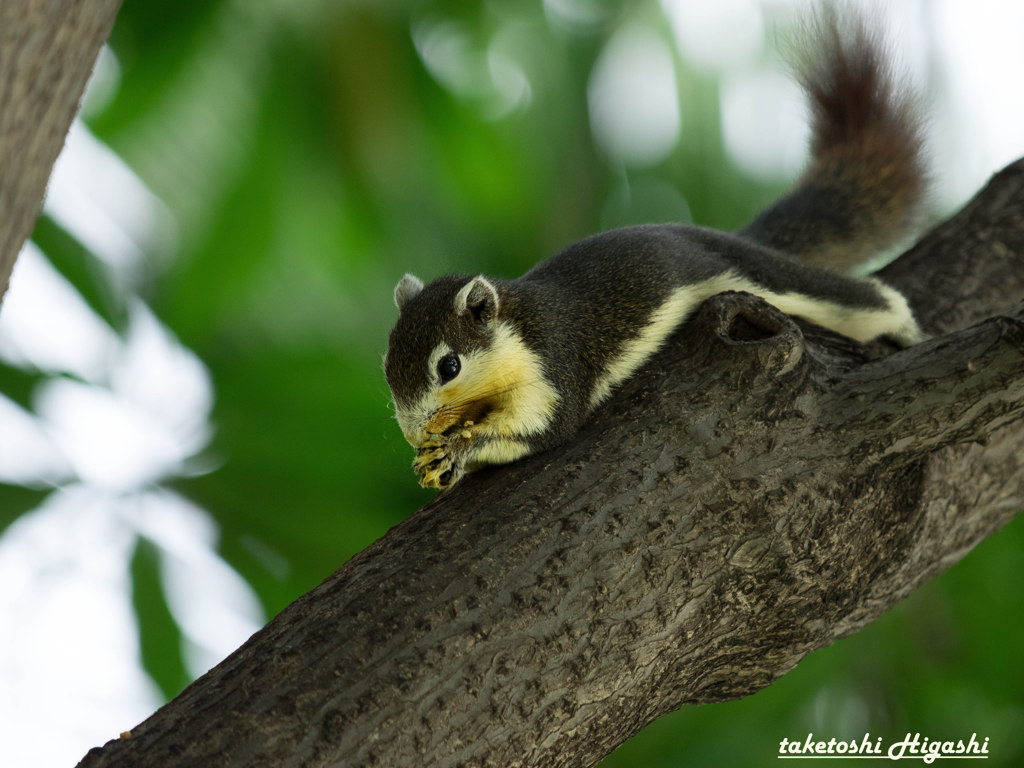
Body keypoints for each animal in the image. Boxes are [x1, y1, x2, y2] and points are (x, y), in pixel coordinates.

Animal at [385, 10, 929, 493]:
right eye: (387, 362)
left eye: (449, 367)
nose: (413, 432)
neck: (512, 331)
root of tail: (713, 235)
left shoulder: (552, 364)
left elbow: (544, 429)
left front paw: (456, 450)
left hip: (759, 276)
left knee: (856, 298)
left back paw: (906, 325)